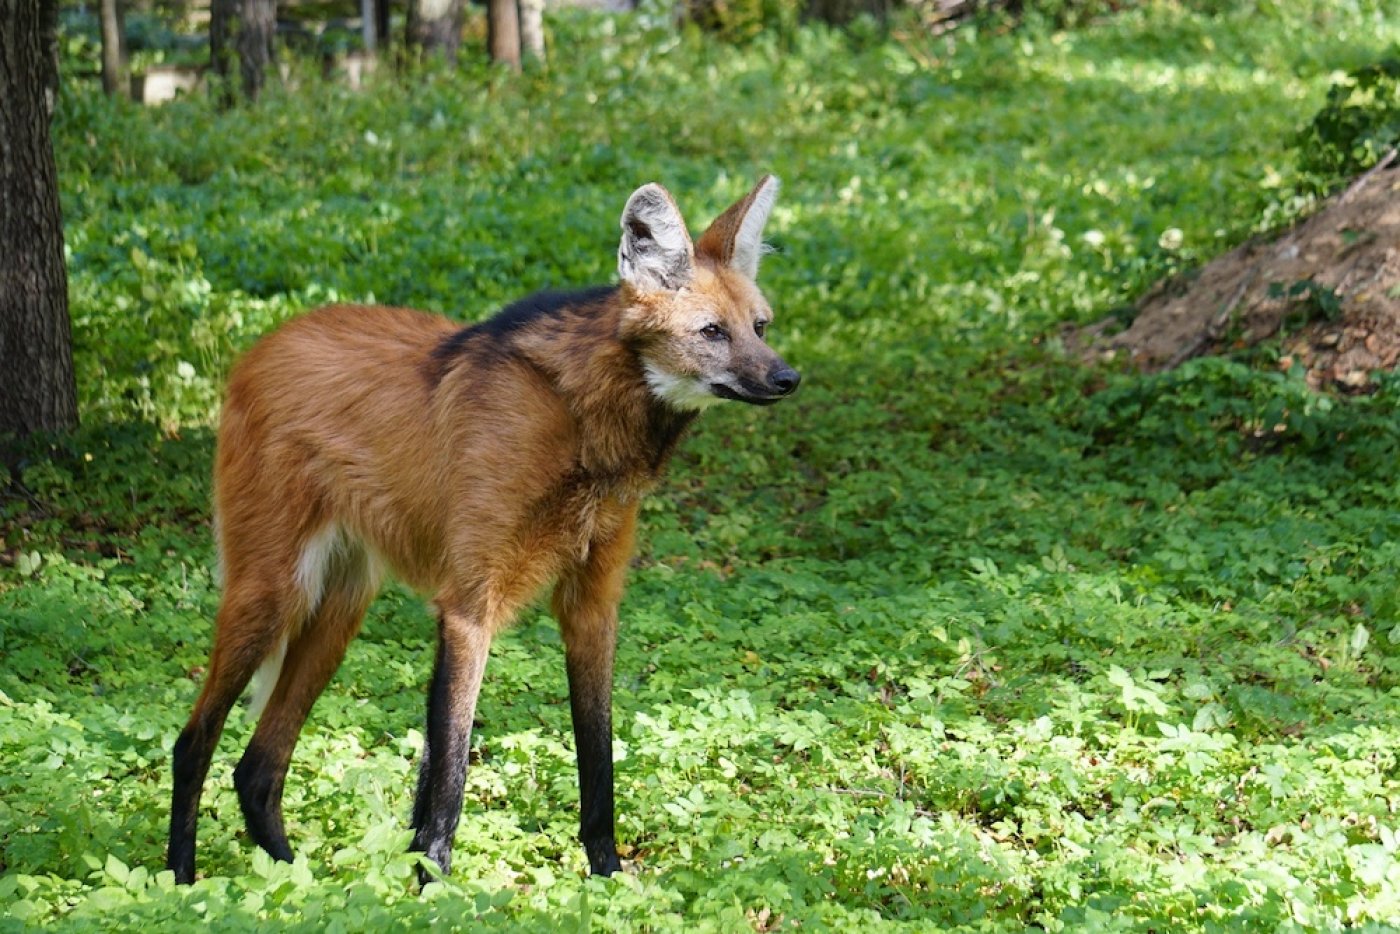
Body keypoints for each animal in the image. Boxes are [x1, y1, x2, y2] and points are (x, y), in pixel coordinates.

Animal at [166, 173, 800, 884]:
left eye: (760, 326)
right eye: (712, 331)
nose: (787, 377)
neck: (581, 420)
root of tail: (259, 346)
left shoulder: (592, 602)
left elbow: (598, 759)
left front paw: (608, 877)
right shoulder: (470, 606)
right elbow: (447, 777)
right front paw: (432, 888)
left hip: (339, 609)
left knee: (258, 766)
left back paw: (295, 878)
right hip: (274, 592)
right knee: (194, 742)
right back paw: (183, 882)